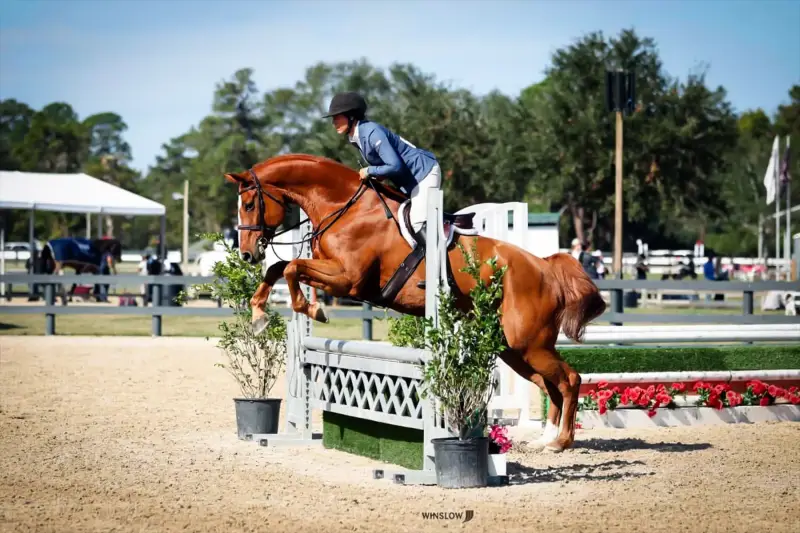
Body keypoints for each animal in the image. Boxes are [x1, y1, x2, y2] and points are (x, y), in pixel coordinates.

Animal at [224, 154, 606, 452]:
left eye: (249, 204)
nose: (246, 254)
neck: (343, 207)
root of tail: (544, 266)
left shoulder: (348, 279)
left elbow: (291, 268)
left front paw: (311, 309)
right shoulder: (331, 272)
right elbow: (279, 268)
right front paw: (259, 312)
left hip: (530, 343)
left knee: (569, 380)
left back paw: (560, 442)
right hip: (512, 347)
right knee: (548, 383)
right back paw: (544, 439)